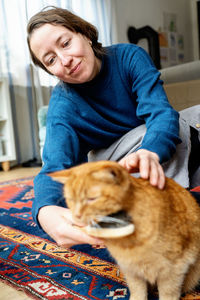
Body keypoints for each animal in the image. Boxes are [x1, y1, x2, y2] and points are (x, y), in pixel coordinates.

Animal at [50, 161, 200, 300]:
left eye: (92, 199)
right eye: (70, 199)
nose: (77, 215)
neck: (128, 243)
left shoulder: (173, 271)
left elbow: (168, 294)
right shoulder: (131, 270)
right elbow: (137, 292)